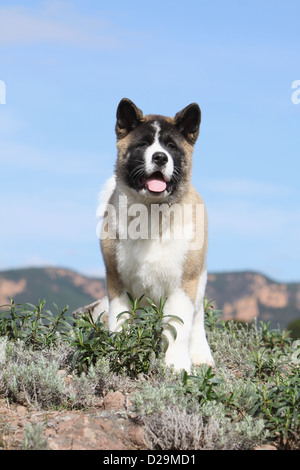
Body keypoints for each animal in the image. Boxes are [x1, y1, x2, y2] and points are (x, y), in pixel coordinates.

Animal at [98, 98, 213, 370]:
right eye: (143, 144)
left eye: (171, 146)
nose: (160, 157)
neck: (151, 211)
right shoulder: (116, 281)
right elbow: (119, 322)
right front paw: (118, 354)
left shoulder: (184, 284)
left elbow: (178, 328)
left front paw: (177, 367)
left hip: (200, 280)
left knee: (197, 320)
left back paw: (201, 354)